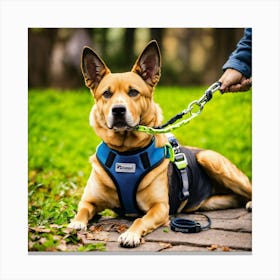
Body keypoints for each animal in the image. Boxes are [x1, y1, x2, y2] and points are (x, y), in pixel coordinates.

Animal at [69, 40, 253, 247]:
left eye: (133, 92)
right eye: (106, 94)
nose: (118, 110)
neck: (126, 152)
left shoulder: (159, 207)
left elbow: (140, 219)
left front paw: (131, 234)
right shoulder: (89, 200)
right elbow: (82, 209)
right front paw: (76, 223)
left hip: (210, 159)